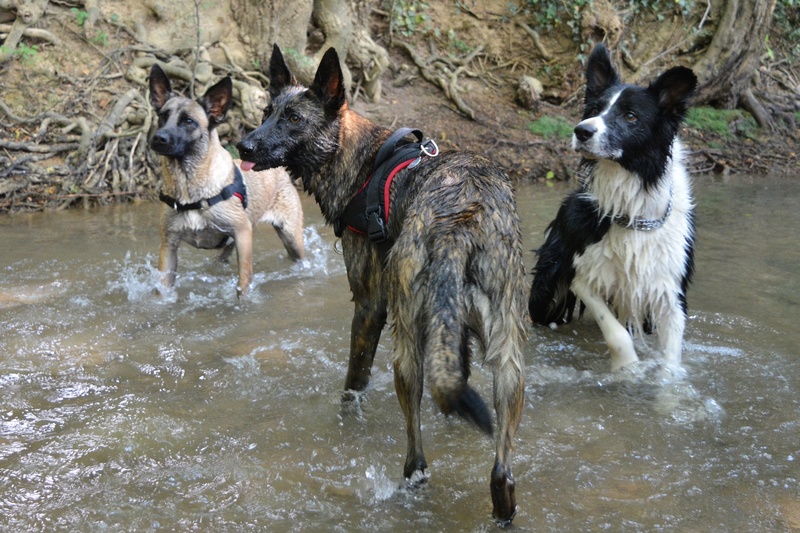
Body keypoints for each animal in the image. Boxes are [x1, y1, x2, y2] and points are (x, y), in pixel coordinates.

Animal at [148, 64, 304, 298]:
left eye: (188, 121)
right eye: (162, 116)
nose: (159, 138)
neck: (189, 183)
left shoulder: (243, 233)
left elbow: (243, 282)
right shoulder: (169, 245)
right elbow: (163, 287)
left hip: (291, 236)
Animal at [234, 44, 528, 524]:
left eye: (293, 118)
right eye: (266, 112)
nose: (244, 144)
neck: (360, 158)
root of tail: (461, 220)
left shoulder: (370, 306)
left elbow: (353, 383)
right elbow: (456, 377)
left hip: (405, 348)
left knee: (418, 456)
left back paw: (410, 481)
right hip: (509, 359)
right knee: (502, 472)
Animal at [528, 44, 696, 370]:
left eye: (630, 116)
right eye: (594, 110)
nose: (581, 131)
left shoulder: (669, 290)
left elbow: (671, 360)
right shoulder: (581, 274)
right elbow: (617, 333)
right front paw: (627, 369)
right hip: (546, 287)